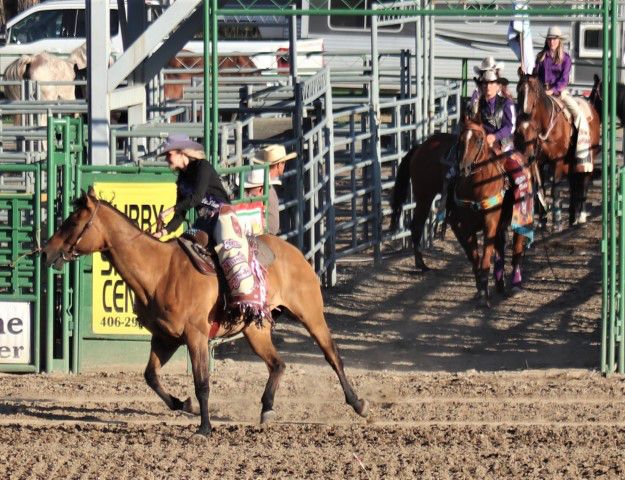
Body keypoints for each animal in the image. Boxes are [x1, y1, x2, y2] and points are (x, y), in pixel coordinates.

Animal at [41, 187, 368, 436]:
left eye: (72, 222)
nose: (45, 252)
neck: (159, 272)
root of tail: (295, 252)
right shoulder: (165, 338)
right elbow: (151, 376)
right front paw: (183, 405)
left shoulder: (195, 336)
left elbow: (202, 384)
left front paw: (204, 427)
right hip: (255, 330)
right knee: (277, 364)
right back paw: (266, 409)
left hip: (310, 314)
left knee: (332, 355)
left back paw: (357, 403)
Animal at [448, 119, 532, 308]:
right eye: (460, 140)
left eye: (479, 140)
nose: (464, 168)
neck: (476, 188)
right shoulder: (465, 228)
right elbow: (475, 259)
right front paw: (481, 290)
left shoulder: (490, 223)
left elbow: (486, 258)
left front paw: (483, 297)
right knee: (500, 248)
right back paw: (500, 283)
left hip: (521, 219)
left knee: (517, 249)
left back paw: (515, 285)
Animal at [512, 71, 600, 229]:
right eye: (518, 89)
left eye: (534, 90)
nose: (524, 114)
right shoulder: (538, 162)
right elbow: (541, 188)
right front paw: (542, 220)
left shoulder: (557, 161)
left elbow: (555, 188)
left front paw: (557, 222)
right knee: (573, 184)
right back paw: (572, 218)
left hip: (588, 156)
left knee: (584, 181)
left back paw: (581, 216)